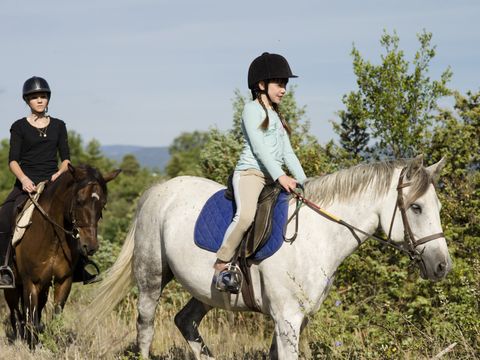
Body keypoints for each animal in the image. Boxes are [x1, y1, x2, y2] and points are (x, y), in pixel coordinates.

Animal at [2, 163, 119, 344]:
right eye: (79, 201)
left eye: (103, 204)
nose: (90, 246)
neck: (53, 239)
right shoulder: (31, 283)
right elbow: (31, 319)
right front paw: (32, 345)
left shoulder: (63, 282)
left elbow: (54, 318)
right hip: (12, 286)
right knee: (16, 313)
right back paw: (20, 340)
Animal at [88, 156, 452, 358]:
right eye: (416, 207)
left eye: (437, 206)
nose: (441, 266)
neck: (317, 234)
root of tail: (159, 189)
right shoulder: (287, 318)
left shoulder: (293, 319)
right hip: (152, 277)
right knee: (146, 327)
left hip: (207, 290)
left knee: (186, 321)